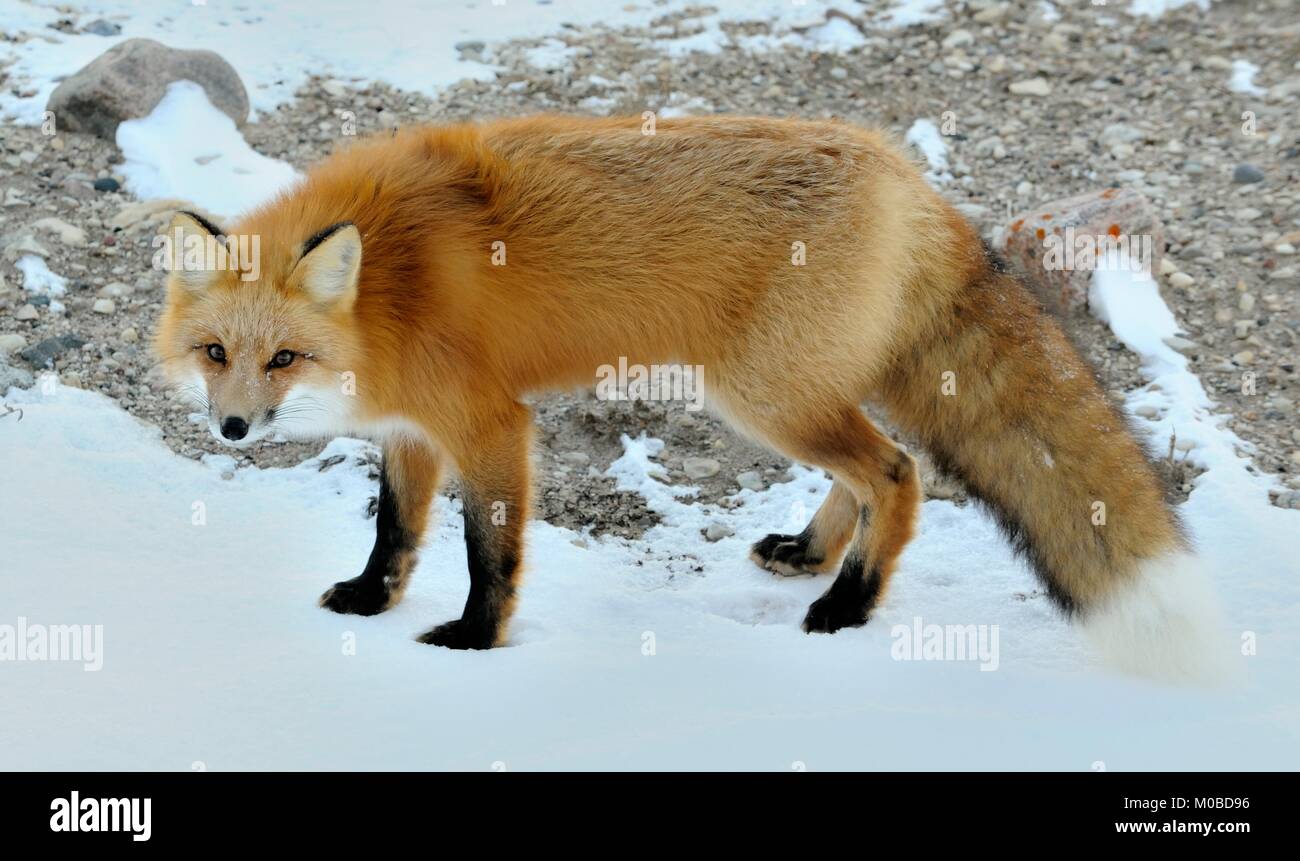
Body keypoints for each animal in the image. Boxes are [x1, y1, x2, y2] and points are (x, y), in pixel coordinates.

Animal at [154, 115, 1222, 677]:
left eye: (282, 358)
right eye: (217, 353)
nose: (234, 427)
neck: (390, 284)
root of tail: (908, 180)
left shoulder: (489, 421)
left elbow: (489, 552)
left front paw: (474, 638)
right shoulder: (415, 427)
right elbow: (395, 531)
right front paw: (371, 603)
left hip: (766, 397)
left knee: (898, 471)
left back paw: (849, 603)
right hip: (791, 394)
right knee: (876, 471)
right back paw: (812, 554)